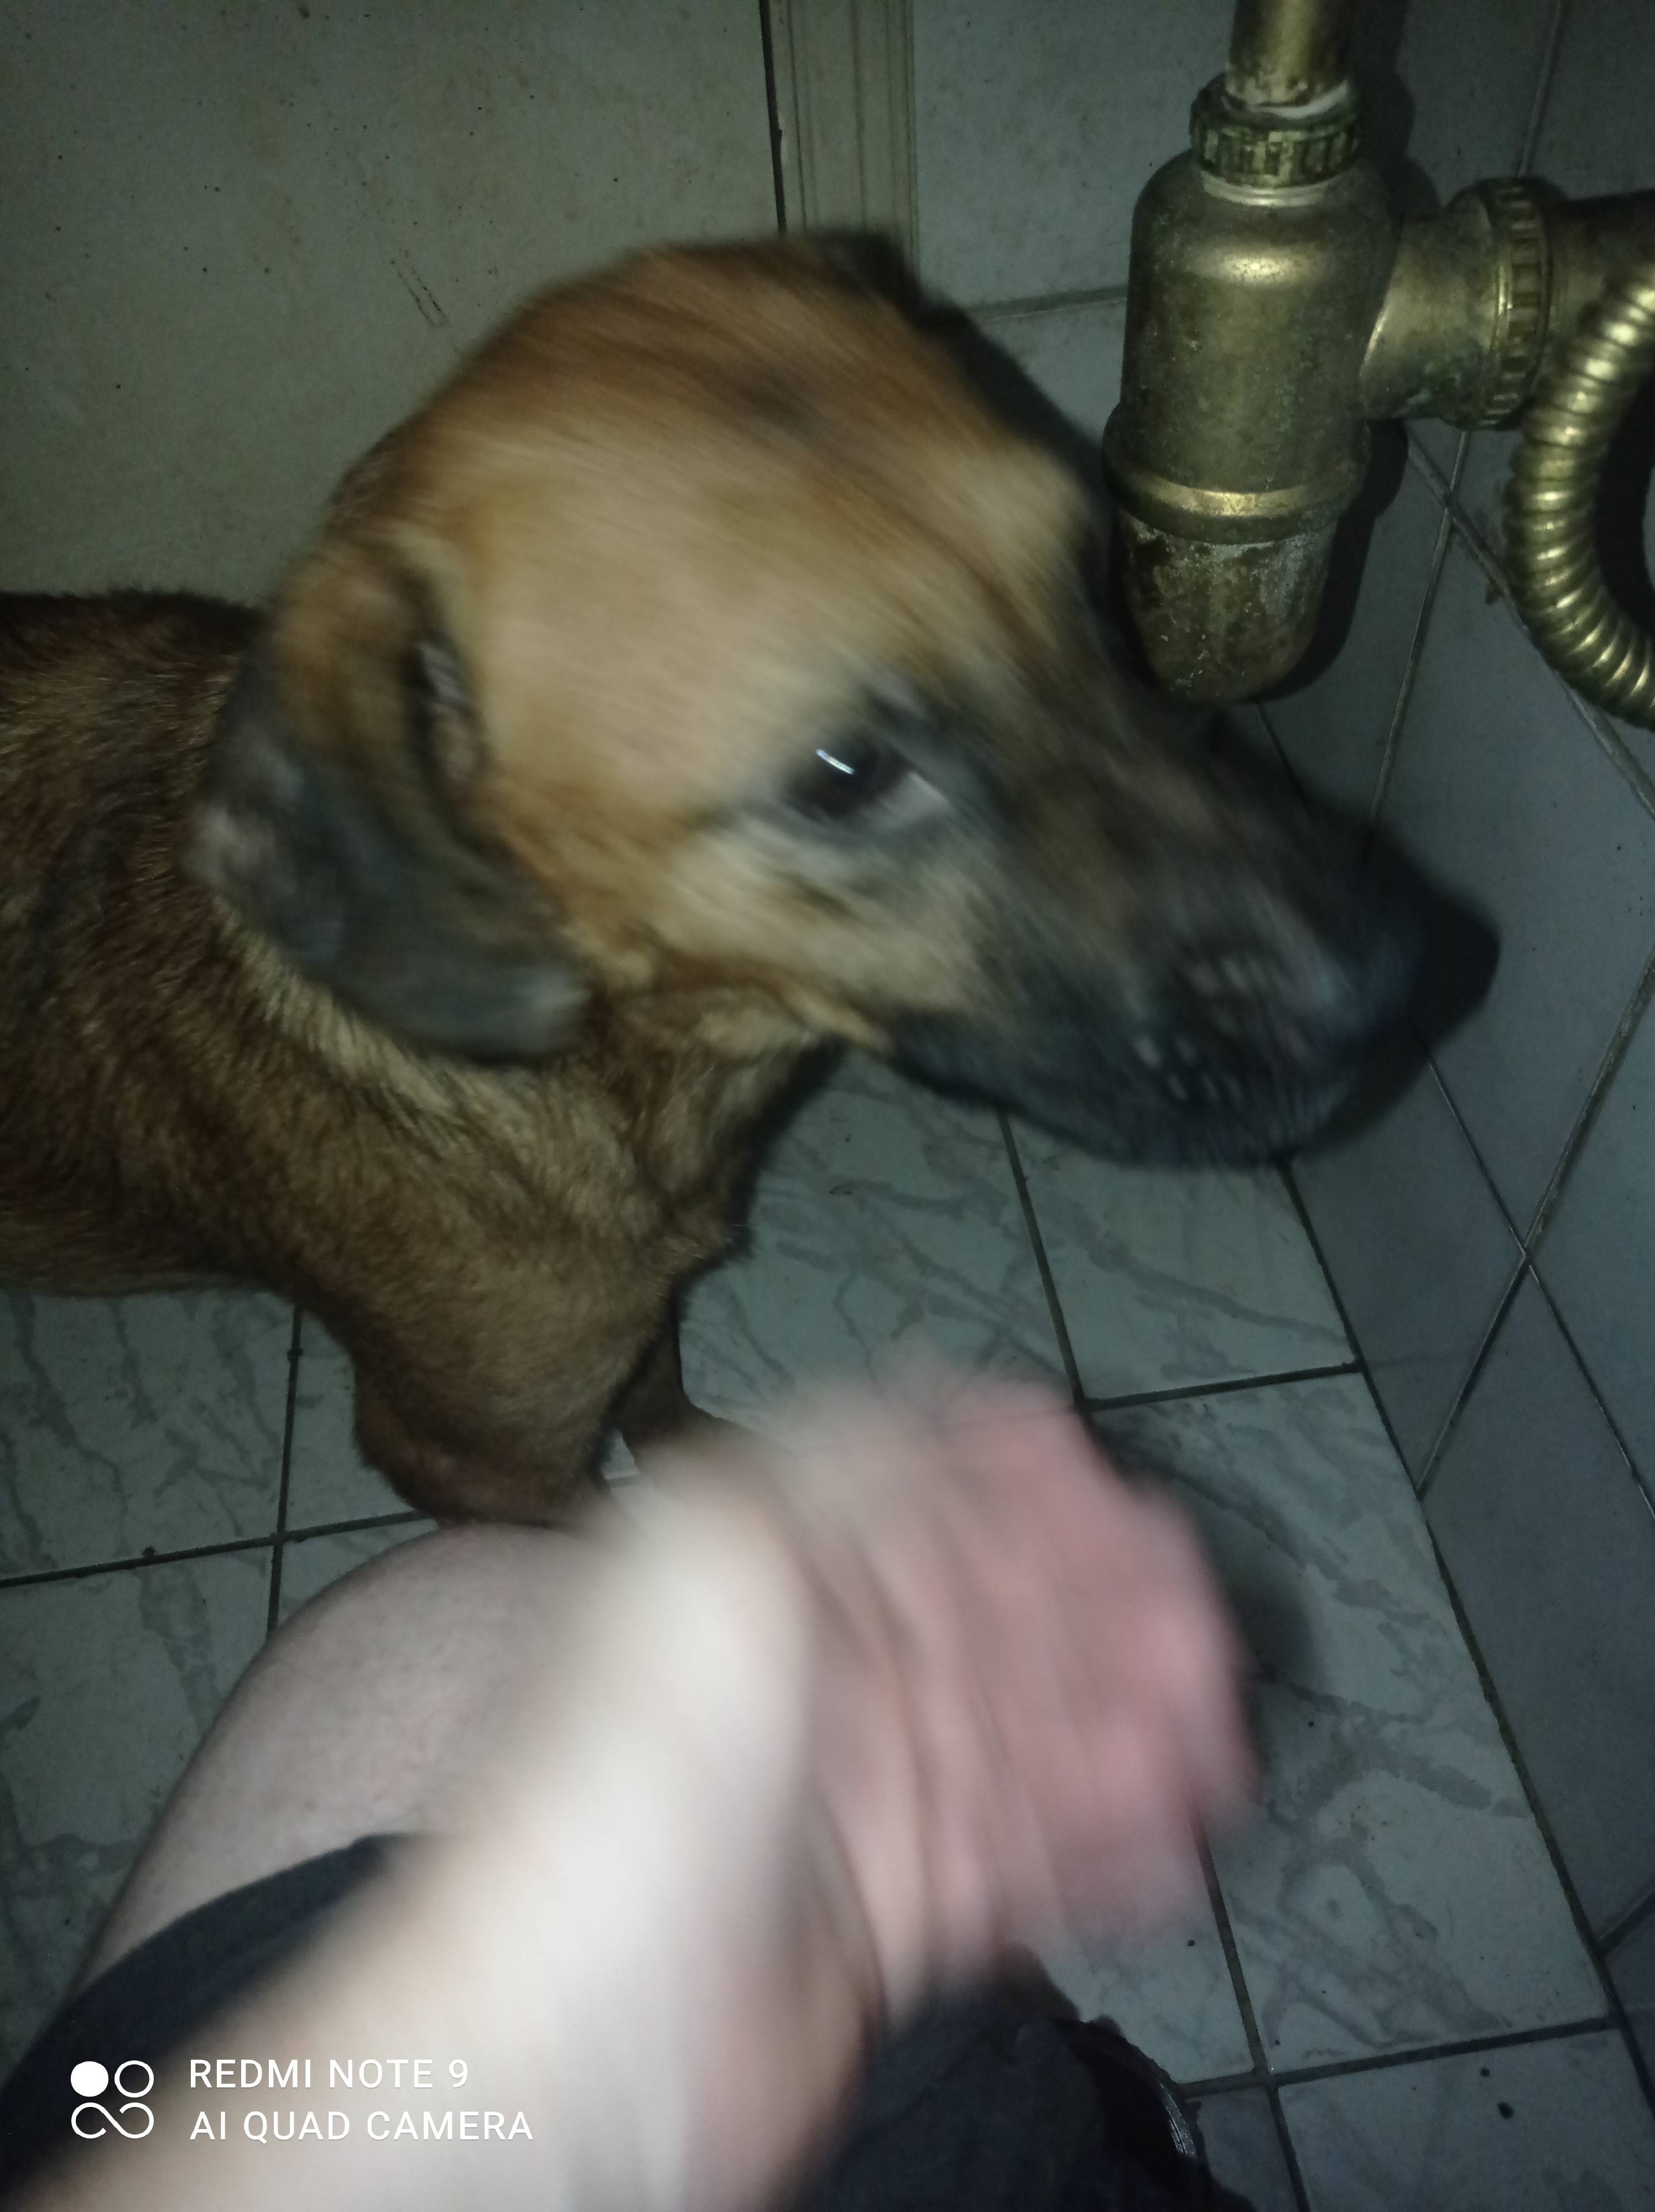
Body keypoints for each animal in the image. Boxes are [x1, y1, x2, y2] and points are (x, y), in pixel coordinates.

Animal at [0, 237, 1421, 1524]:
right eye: (846, 772)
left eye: (1089, 577)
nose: (1386, 991)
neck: (632, 1075)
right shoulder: (477, 1458)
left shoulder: (637, 1324)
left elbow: (659, 1393)